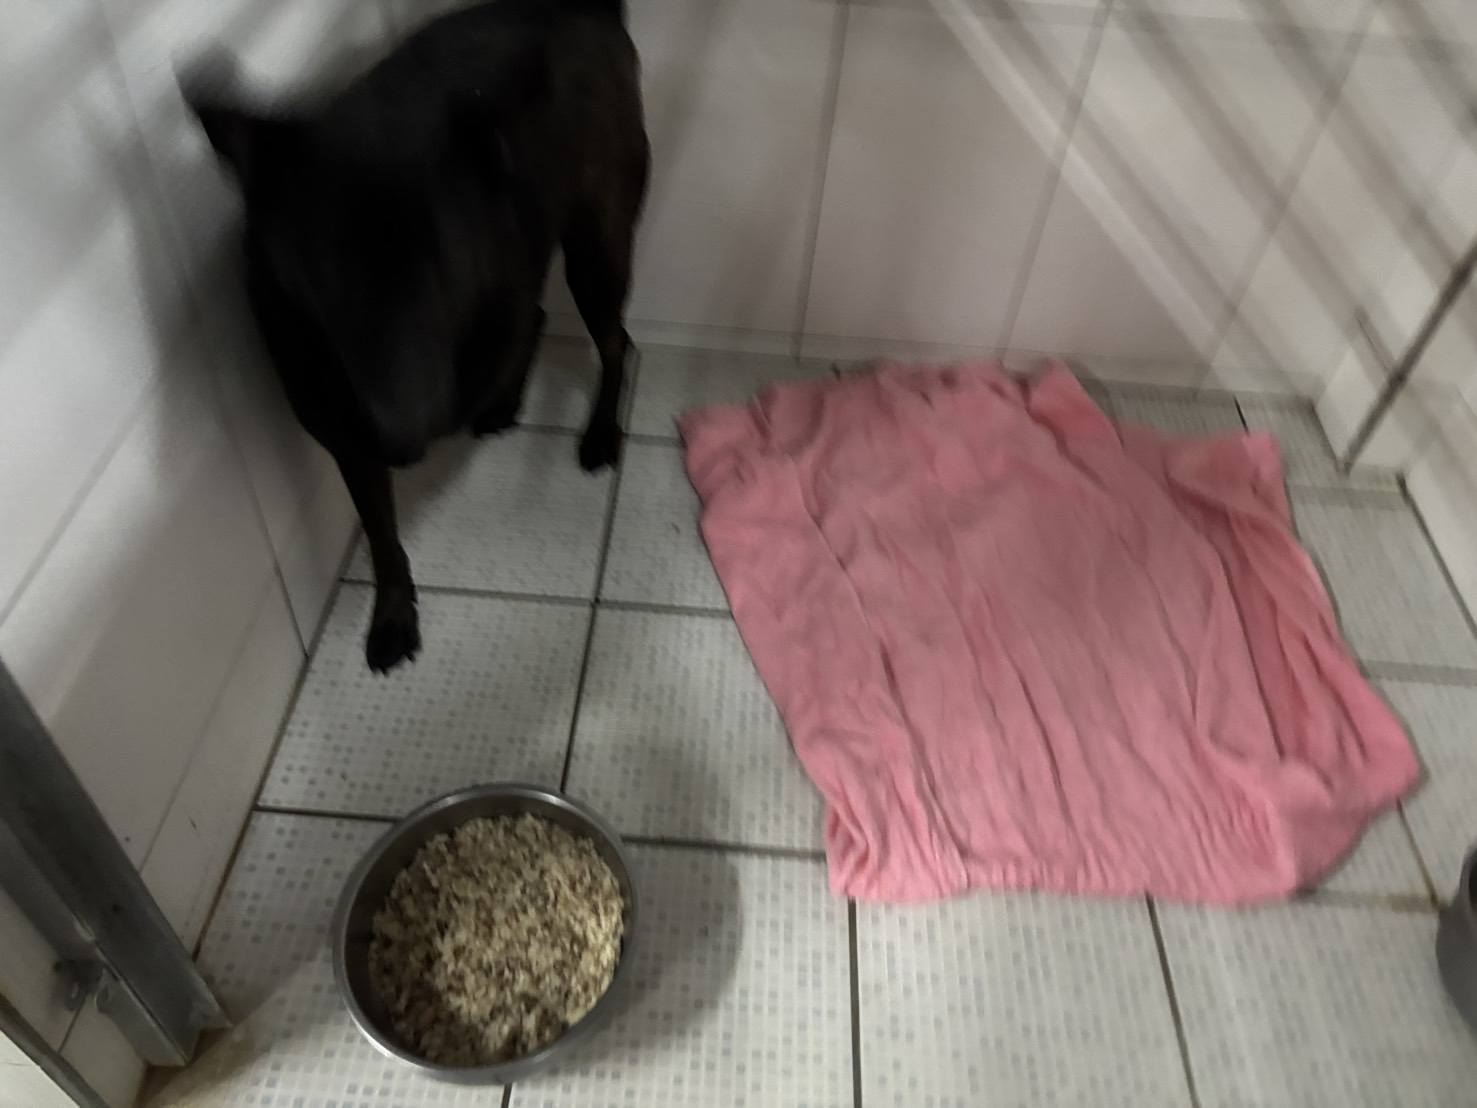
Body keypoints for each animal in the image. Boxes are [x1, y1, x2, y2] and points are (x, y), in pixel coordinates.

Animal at [186, 0, 649, 672]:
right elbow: (382, 535)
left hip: (596, 251)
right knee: (542, 317)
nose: (401, 435)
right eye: (325, 276)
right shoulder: (345, 435)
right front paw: (393, 613)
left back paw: (600, 431)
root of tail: (580, 6)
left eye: (438, 260)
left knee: (616, 343)